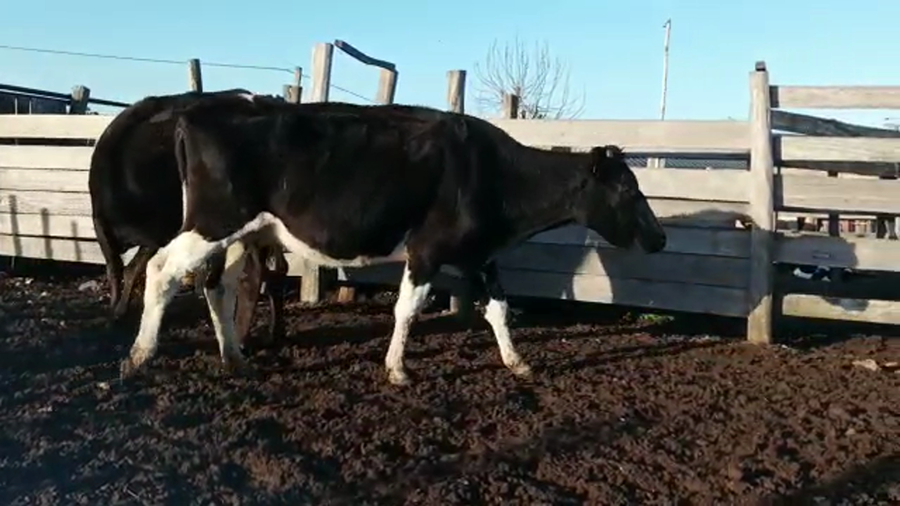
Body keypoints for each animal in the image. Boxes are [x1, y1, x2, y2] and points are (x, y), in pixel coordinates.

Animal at [87, 89, 292, 348]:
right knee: (278, 269)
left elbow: (119, 269)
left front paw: (115, 314)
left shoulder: (135, 227)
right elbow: (129, 268)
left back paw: (239, 337)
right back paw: (275, 332)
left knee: (254, 273)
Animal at [117, 100, 668, 386]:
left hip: (241, 232)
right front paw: (398, 368)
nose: (661, 238)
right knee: (162, 270)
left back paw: (234, 357)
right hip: (214, 220)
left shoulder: (480, 254)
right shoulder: (428, 249)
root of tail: (199, 113)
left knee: (218, 284)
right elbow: (408, 309)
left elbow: (499, 309)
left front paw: (517, 362)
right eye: (627, 189)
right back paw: (140, 354)